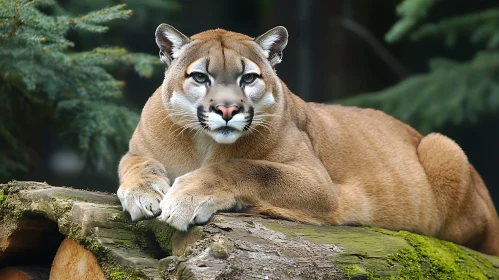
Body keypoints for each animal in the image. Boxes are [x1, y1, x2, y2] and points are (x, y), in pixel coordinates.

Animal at [118, 24, 499, 256]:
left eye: (248, 78)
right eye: (200, 76)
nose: (227, 109)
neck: (203, 143)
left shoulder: (318, 182)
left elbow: (244, 167)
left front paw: (187, 196)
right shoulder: (139, 148)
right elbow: (133, 163)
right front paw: (142, 193)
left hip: (442, 145)